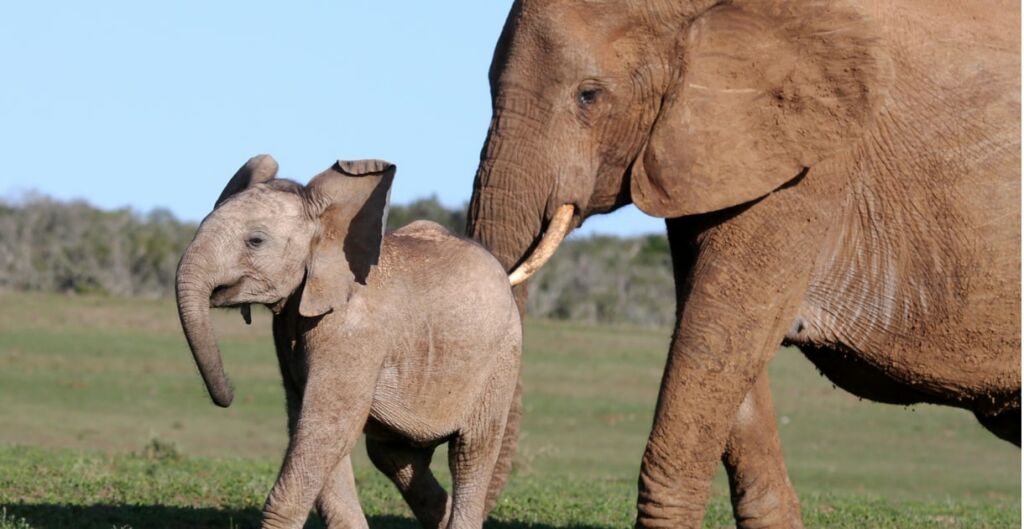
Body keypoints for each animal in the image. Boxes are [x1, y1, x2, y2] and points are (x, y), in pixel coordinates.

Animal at [175, 154, 520, 527]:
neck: (327, 226)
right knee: (394, 455)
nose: (227, 396)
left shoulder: (353, 332)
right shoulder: (288, 328)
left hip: (502, 357)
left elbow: (326, 428)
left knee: (471, 452)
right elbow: (312, 428)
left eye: (255, 241)